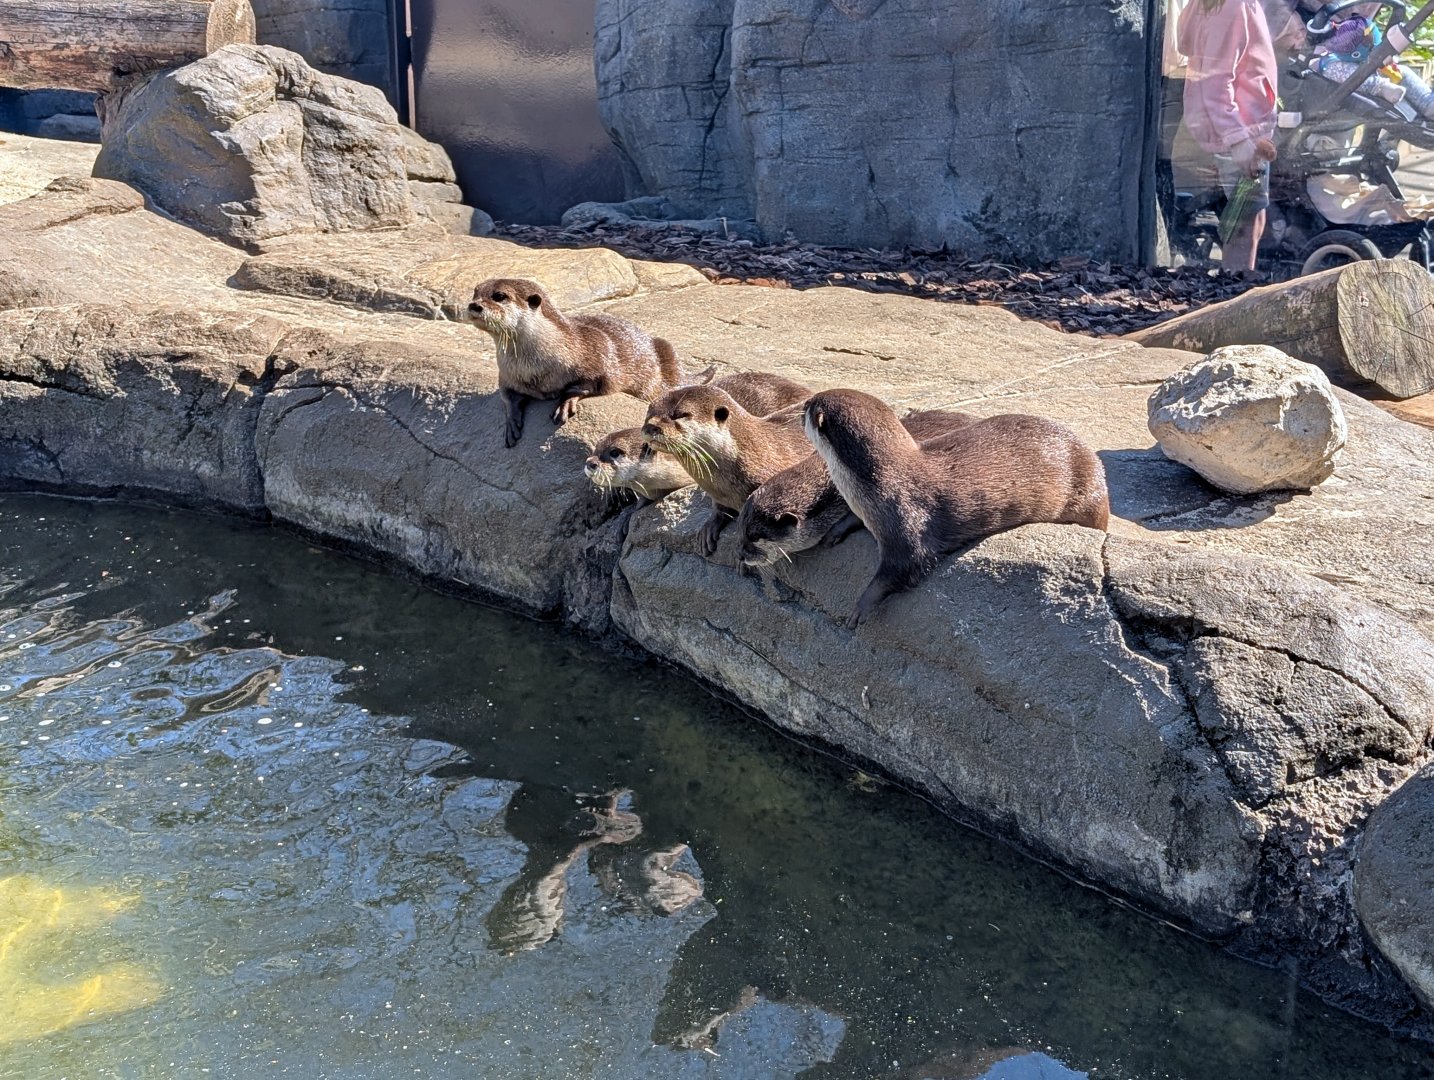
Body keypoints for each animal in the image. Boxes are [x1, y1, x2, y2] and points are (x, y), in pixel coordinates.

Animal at [466, 277, 685, 447]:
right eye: (475, 292)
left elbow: (591, 384)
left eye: (499, 296)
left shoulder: (597, 356)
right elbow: (507, 395)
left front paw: (565, 402)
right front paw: (511, 421)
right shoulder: (507, 375)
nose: (474, 305)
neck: (535, 366)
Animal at [803, 389, 1109, 627]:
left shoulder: (908, 521)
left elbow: (905, 568)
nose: (804, 404)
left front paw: (861, 606)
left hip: (1088, 501)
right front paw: (836, 530)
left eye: (811, 406)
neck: (876, 485)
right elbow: (853, 518)